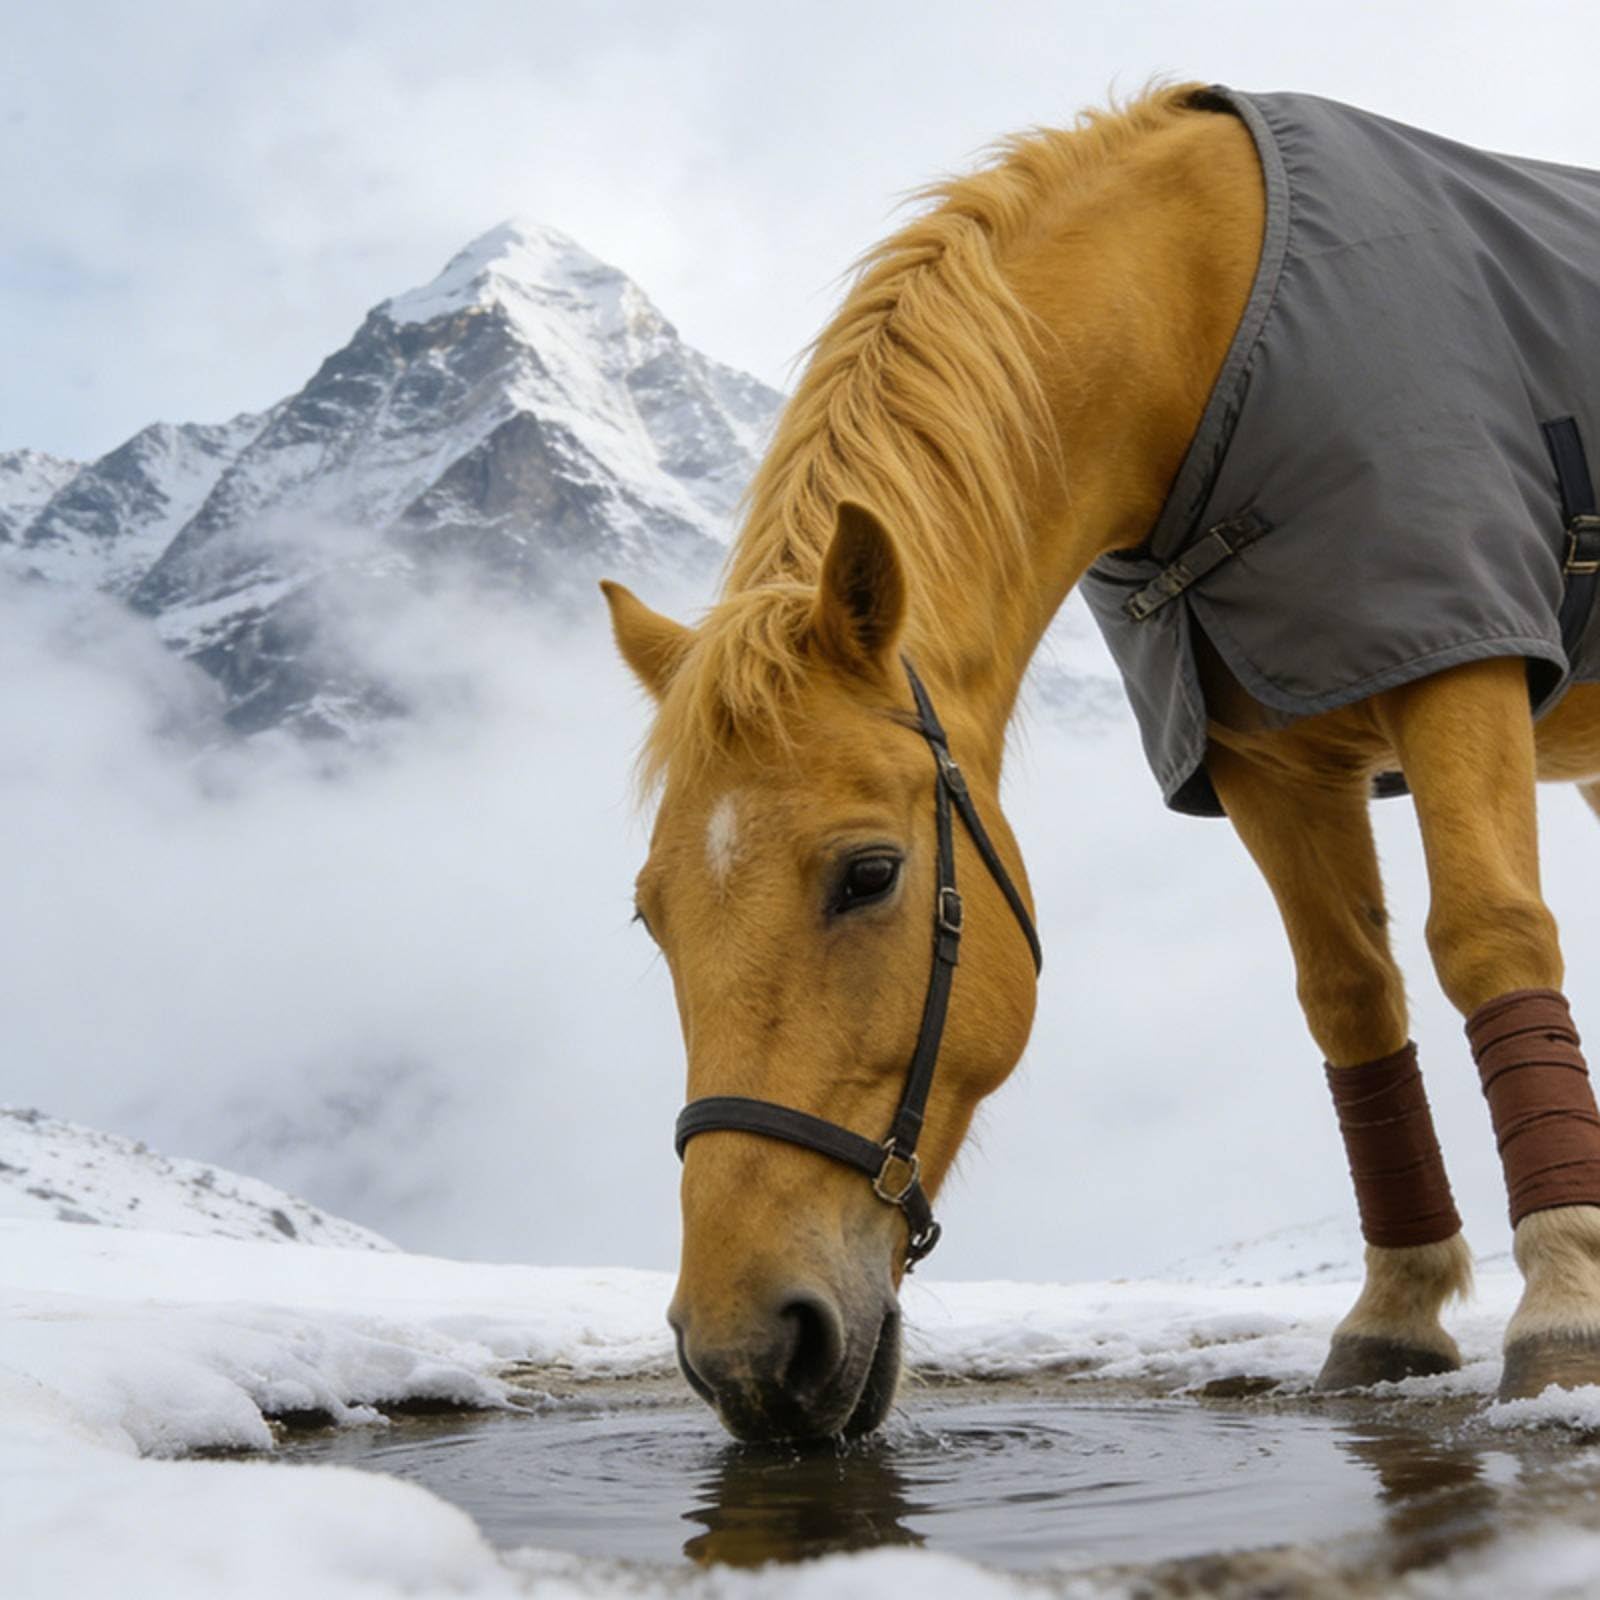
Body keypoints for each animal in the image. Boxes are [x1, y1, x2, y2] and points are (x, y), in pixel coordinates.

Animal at [603, 83, 1600, 1442]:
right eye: (651, 917)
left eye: (869, 875)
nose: (746, 1352)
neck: (1207, 324)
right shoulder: (1263, 763)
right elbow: (1350, 999)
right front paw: (1393, 1315)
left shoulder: (1458, 652)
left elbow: (1492, 939)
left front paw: (1563, 1307)